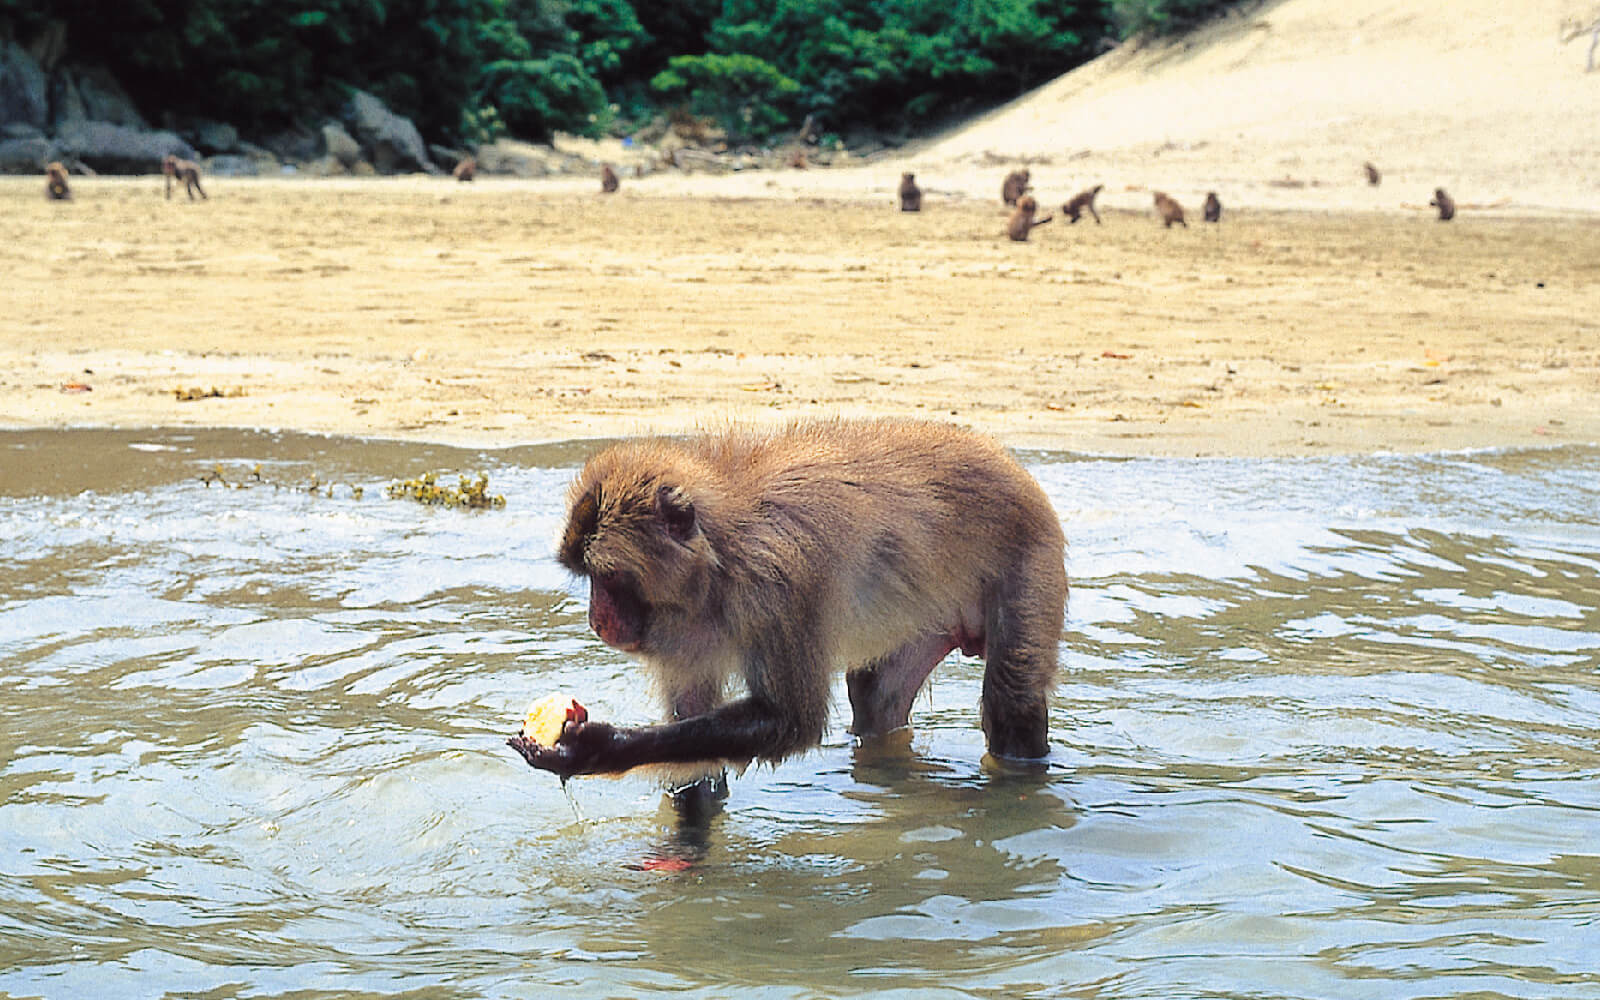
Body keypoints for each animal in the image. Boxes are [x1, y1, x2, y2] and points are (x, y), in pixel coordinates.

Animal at [505, 419, 1068, 803]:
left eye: (610, 579)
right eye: (590, 577)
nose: (597, 621)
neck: (719, 564)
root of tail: (1010, 464)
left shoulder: (778, 585)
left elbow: (791, 720)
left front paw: (601, 748)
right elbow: (695, 758)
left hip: (1030, 560)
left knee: (1013, 704)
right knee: (875, 698)